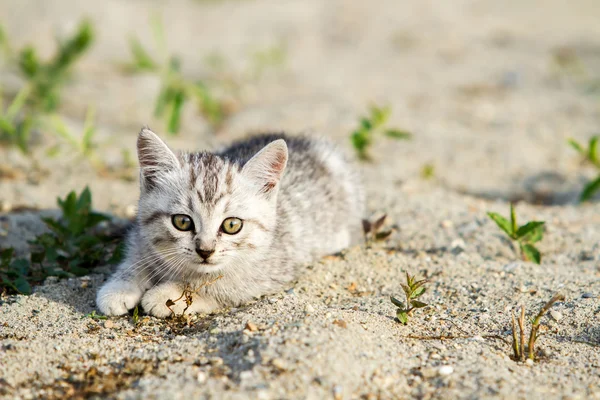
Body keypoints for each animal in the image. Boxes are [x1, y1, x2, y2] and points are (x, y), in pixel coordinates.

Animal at [96, 127, 364, 316]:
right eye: (182, 221)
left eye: (232, 225)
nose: (205, 250)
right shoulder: (141, 236)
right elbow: (136, 257)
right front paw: (119, 286)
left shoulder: (271, 269)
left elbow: (217, 284)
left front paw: (167, 294)